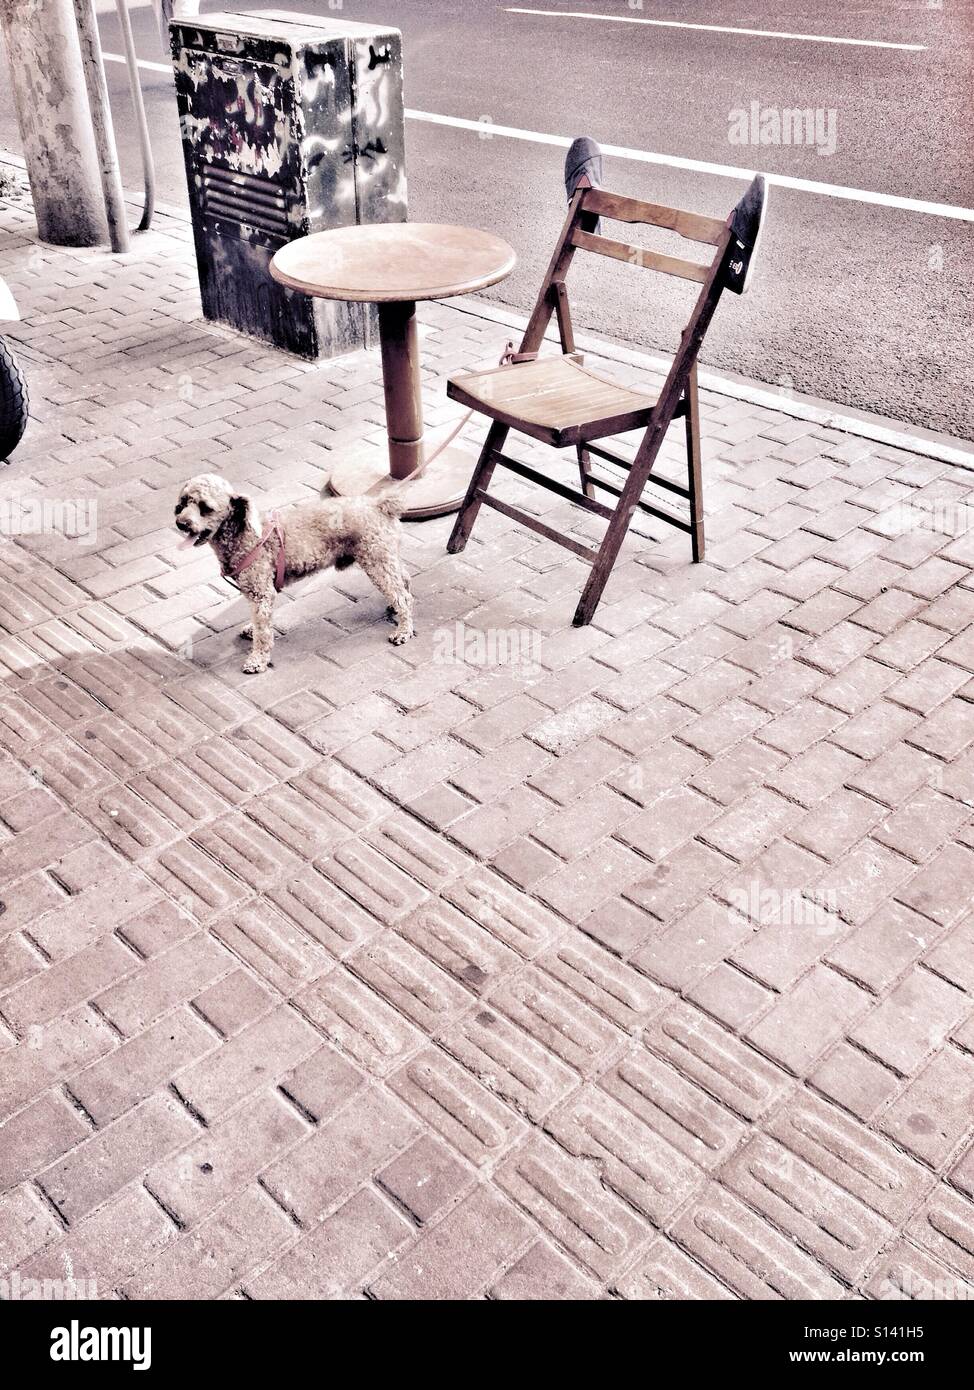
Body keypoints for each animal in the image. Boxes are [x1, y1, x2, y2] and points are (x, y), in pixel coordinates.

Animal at [175, 475, 411, 675]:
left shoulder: (262, 593)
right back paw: (395, 610)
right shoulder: (256, 593)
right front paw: (252, 629)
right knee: (404, 580)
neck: (243, 534)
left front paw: (257, 660)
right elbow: (258, 622)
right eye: (184, 502)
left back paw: (403, 630)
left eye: (205, 508)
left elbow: (263, 633)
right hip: (385, 558)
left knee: (403, 597)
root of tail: (379, 505)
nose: (181, 523)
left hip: (376, 561)